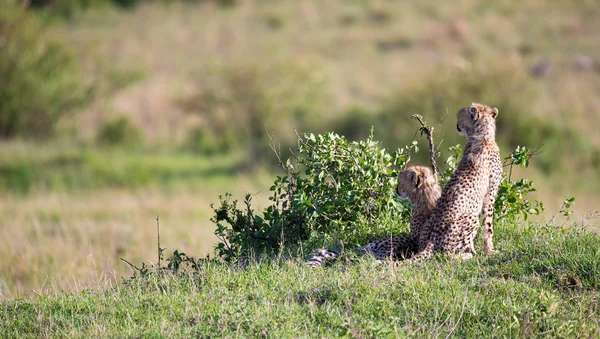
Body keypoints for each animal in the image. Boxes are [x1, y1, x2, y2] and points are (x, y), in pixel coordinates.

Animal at [408, 102, 502, 262]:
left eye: (460, 116)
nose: (457, 125)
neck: (482, 135)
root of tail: (430, 242)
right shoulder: (489, 195)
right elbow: (488, 226)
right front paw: (490, 250)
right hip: (470, 219)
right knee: (445, 255)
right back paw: (466, 256)